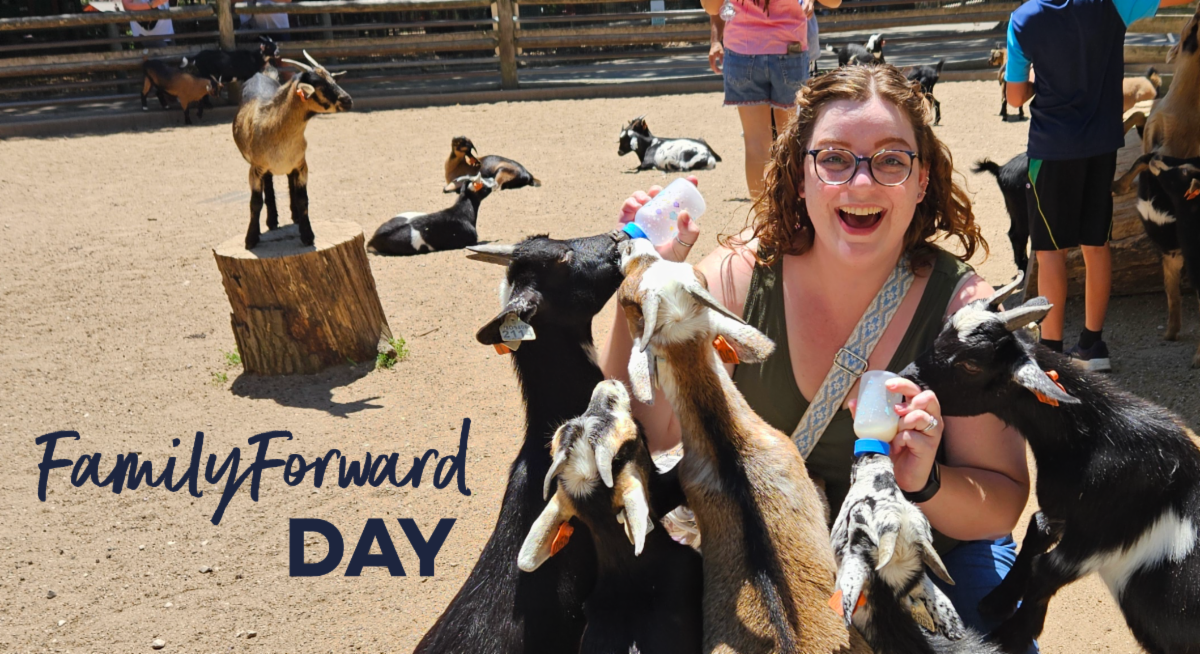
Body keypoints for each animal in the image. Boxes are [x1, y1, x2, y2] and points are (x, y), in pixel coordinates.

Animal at [232, 52, 352, 250]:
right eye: (319, 85)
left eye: (332, 79)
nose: (347, 100)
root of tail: (260, 74)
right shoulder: (255, 169)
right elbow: (255, 202)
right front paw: (251, 239)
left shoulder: (301, 165)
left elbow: (302, 199)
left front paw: (307, 235)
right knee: (269, 184)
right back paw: (272, 221)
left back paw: (292, 218)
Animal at [900, 274, 1200, 654]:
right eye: (943, 328)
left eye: (971, 365)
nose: (906, 375)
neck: (1094, 438)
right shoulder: (1060, 508)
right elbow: (1036, 529)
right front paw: (998, 600)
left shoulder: (1097, 536)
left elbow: (1046, 571)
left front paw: (1008, 635)